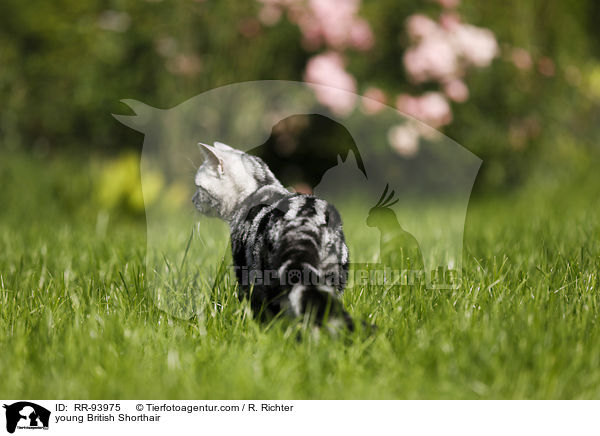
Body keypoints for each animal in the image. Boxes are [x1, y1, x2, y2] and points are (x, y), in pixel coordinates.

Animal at [192, 141, 354, 328]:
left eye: (198, 187)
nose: (192, 200)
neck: (260, 187)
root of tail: (307, 223)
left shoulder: (245, 270)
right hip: (334, 278)